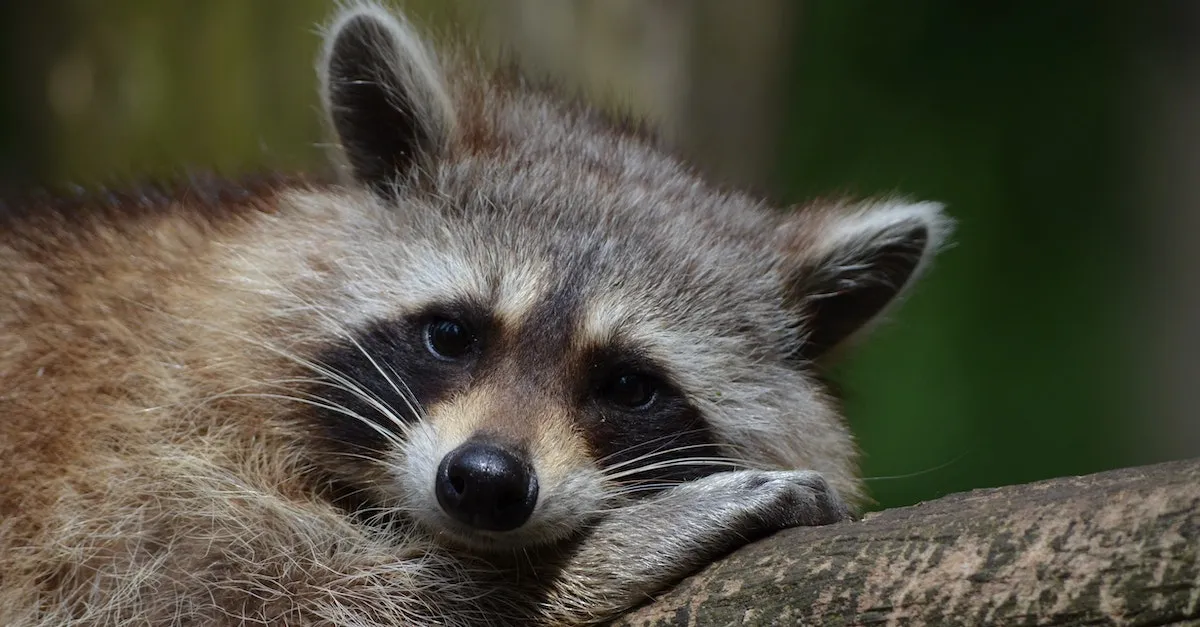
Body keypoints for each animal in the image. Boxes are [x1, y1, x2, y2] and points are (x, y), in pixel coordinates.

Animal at [0, 3, 950, 626]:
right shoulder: (122, 455)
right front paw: (578, 565)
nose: (486, 481)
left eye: (629, 385)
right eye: (451, 333)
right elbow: (231, 591)